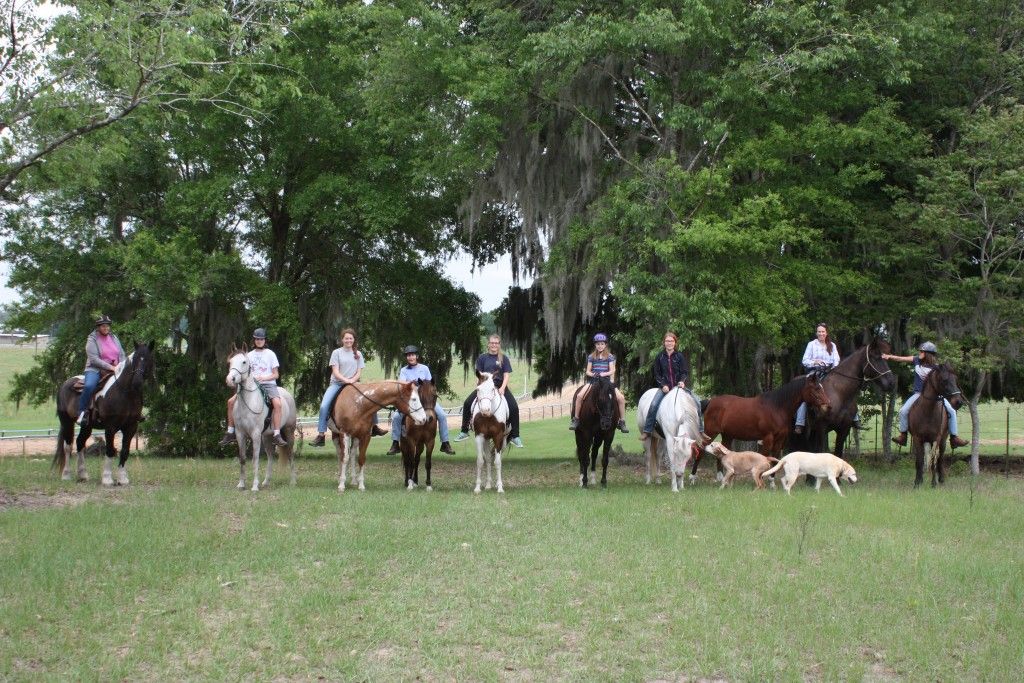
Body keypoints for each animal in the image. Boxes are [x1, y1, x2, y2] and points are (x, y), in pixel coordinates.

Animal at [54, 342, 155, 485]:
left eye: (148, 359)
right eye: (135, 359)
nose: (137, 381)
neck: (125, 393)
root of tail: (65, 383)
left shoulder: (131, 427)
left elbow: (125, 451)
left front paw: (122, 478)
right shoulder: (110, 427)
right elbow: (110, 450)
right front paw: (107, 478)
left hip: (87, 426)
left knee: (80, 443)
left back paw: (83, 474)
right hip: (66, 422)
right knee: (68, 446)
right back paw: (66, 474)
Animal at [226, 348, 299, 491]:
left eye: (244, 362)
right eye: (230, 361)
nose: (230, 379)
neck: (248, 402)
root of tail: (287, 394)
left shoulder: (255, 434)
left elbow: (255, 460)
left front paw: (254, 486)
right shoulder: (240, 434)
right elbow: (242, 458)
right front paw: (241, 484)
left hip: (288, 431)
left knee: (290, 454)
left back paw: (293, 482)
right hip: (266, 436)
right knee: (271, 457)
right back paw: (265, 482)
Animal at [688, 370, 831, 479]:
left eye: (822, 387)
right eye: (816, 388)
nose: (828, 406)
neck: (776, 407)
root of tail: (711, 401)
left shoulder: (780, 439)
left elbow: (775, 458)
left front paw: (772, 482)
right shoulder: (768, 438)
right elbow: (765, 457)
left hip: (727, 435)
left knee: (721, 453)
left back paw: (720, 478)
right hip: (710, 432)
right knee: (701, 451)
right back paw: (692, 477)